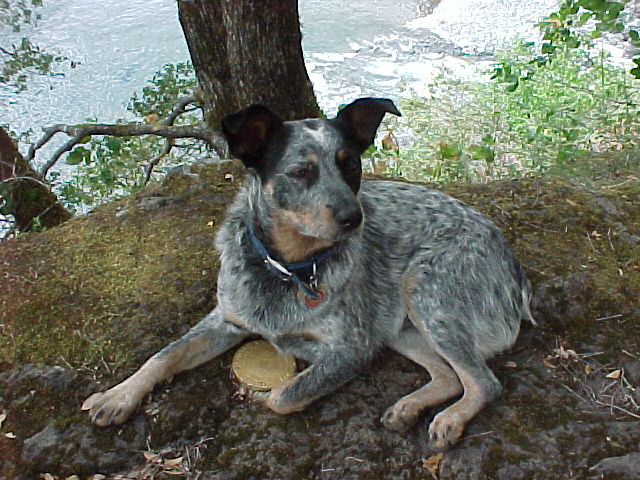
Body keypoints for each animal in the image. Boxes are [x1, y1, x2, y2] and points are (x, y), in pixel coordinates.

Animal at [85, 97, 536, 450]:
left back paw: (450, 420)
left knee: (483, 382)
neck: (289, 269)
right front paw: (118, 395)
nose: (354, 217)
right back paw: (407, 408)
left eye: (350, 165)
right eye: (300, 171)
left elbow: (282, 395)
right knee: (448, 376)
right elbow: (165, 355)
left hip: (427, 292)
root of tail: (516, 273)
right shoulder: (226, 320)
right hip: (400, 324)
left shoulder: (353, 348)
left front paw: (281, 378)